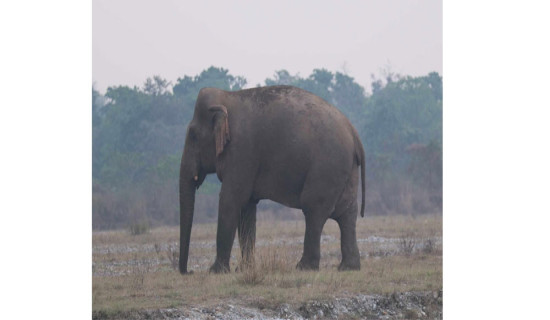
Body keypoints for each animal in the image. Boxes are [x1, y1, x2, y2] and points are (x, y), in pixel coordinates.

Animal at [180, 85, 366, 276]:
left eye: (193, 135)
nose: (189, 271)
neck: (226, 97)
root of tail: (354, 135)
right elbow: (247, 206)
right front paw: (243, 269)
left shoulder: (241, 151)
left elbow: (230, 199)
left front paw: (216, 271)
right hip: (345, 169)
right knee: (346, 213)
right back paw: (348, 267)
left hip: (327, 166)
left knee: (314, 208)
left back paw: (304, 267)